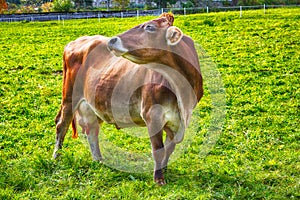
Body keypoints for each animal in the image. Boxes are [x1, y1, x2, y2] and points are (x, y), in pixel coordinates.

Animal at [54, 12, 204, 186]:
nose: (112, 40)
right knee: (62, 125)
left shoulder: (179, 118)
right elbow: (158, 149)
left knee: (92, 129)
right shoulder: (152, 114)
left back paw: (98, 160)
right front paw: (158, 178)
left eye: (150, 27)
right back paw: (56, 156)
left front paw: (165, 169)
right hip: (69, 96)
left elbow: (169, 148)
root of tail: (76, 41)